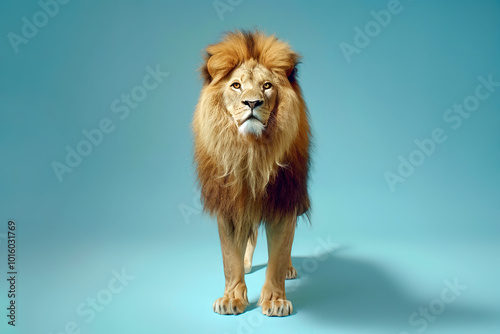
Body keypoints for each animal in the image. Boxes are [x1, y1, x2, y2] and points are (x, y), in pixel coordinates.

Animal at [193, 30, 310, 318]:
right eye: (236, 86)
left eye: (267, 86)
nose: (252, 102)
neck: (251, 152)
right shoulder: (228, 205)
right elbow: (229, 258)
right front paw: (232, 298)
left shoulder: (283, 201)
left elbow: (278, 254)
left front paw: (276, 301)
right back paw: (247, 264)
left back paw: (290, 269)